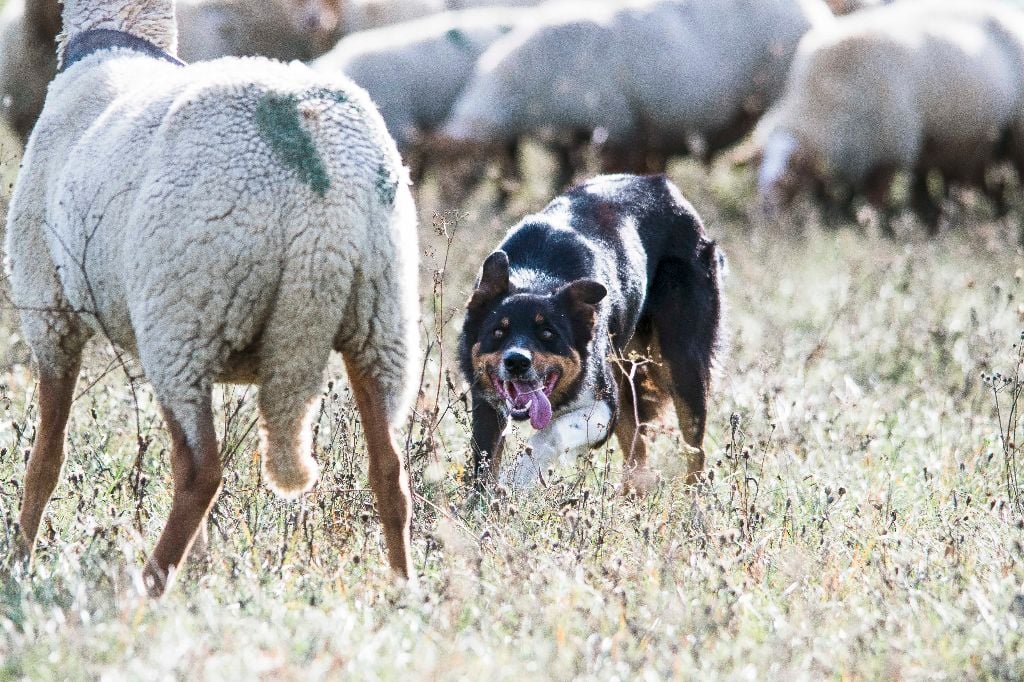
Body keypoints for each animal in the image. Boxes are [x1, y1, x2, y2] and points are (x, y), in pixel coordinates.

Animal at [9, 0, 417, 593]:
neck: (115, 37)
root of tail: (324, 202)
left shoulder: (48, 312)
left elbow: (45, 458)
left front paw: (17, 562)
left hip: (183, 321)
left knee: (200, 473)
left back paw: (148, 589)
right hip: (380, 319)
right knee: (389, 471)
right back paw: (405, 590)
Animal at [460, 171, 724, 489]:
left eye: (548, 334)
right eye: (498, 332)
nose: (516, 362)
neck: (537, 276)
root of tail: (663, 184)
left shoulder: (604, 408)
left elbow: (551, 433)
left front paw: (517, 478)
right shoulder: (486, 405)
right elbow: (484, 461)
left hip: (682, 364)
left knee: (694, 448)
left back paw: (694, 497)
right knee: (637, 449)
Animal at [757, 0, 1024, 231]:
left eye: (792, 172)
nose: (765, 214)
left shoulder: (887, 149)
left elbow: (875, 199)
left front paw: (871, 227)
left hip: (1012, 137)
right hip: (969, 145)